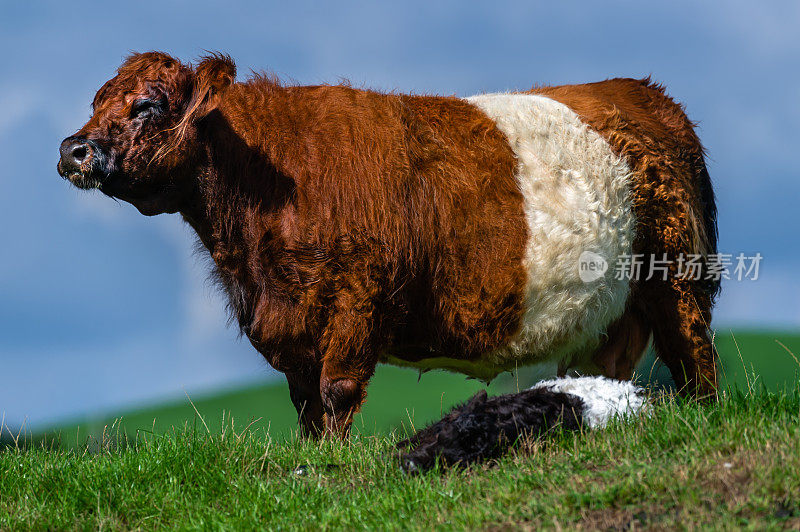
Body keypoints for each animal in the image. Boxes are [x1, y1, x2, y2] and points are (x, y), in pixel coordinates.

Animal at [56, 52, 720, 438]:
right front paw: (316, 460)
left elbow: (336, 389)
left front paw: (334, 467)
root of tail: (642, 92)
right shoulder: (289, 321)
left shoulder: (358, 295)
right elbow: (305, 402)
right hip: (612, 311)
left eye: (147, 104)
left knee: (696, 361)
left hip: (677, 276)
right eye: (97, 100)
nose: (74, 149)